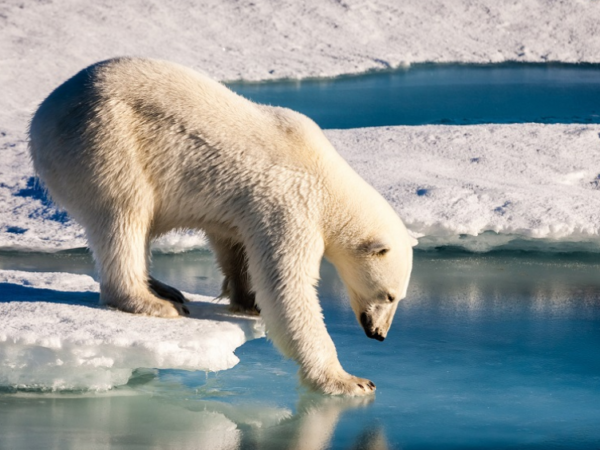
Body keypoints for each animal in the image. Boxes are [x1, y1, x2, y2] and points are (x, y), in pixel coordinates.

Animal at [28, 58, 412, 396]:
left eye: (398, 297)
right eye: (389, 295)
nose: (379, 334)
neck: (327, 179)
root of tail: (42, 115)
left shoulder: (246, 207)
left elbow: (234, 244)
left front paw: (247, 301)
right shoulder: (291, 205)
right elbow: (287, 287)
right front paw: (350, 380)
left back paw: (164, 288)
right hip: (106, 141)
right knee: (124, 214)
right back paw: (153, 302)